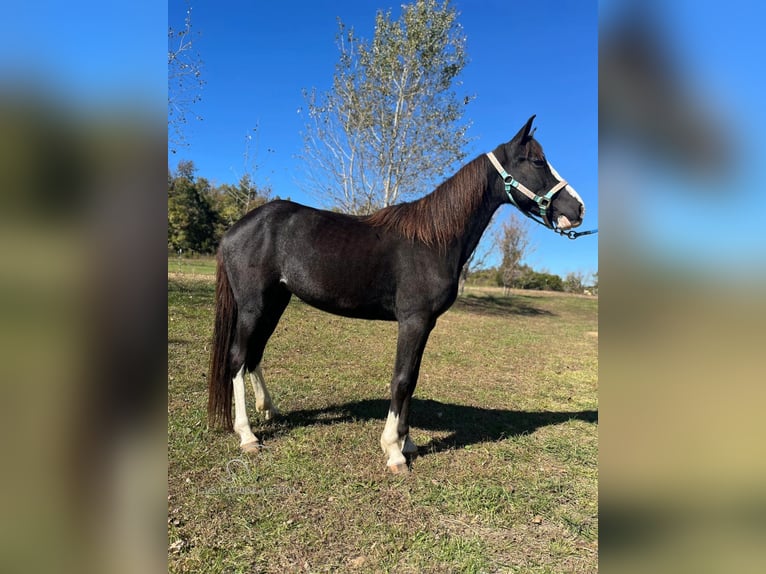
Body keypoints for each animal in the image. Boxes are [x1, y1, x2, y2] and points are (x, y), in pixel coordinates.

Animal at [210, 116, 588, 472]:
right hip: (253, 307)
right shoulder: (412, 321)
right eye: (536, 161)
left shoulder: (426, 324)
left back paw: (270, 409)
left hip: (276, 302)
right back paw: (247, 435)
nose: (578, 209)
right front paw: (393, 451)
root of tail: (235, 230)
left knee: (255, 355)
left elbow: (413, 379)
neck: (433, 240)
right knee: (237, 358)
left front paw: (408, 443)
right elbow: (402, 380)